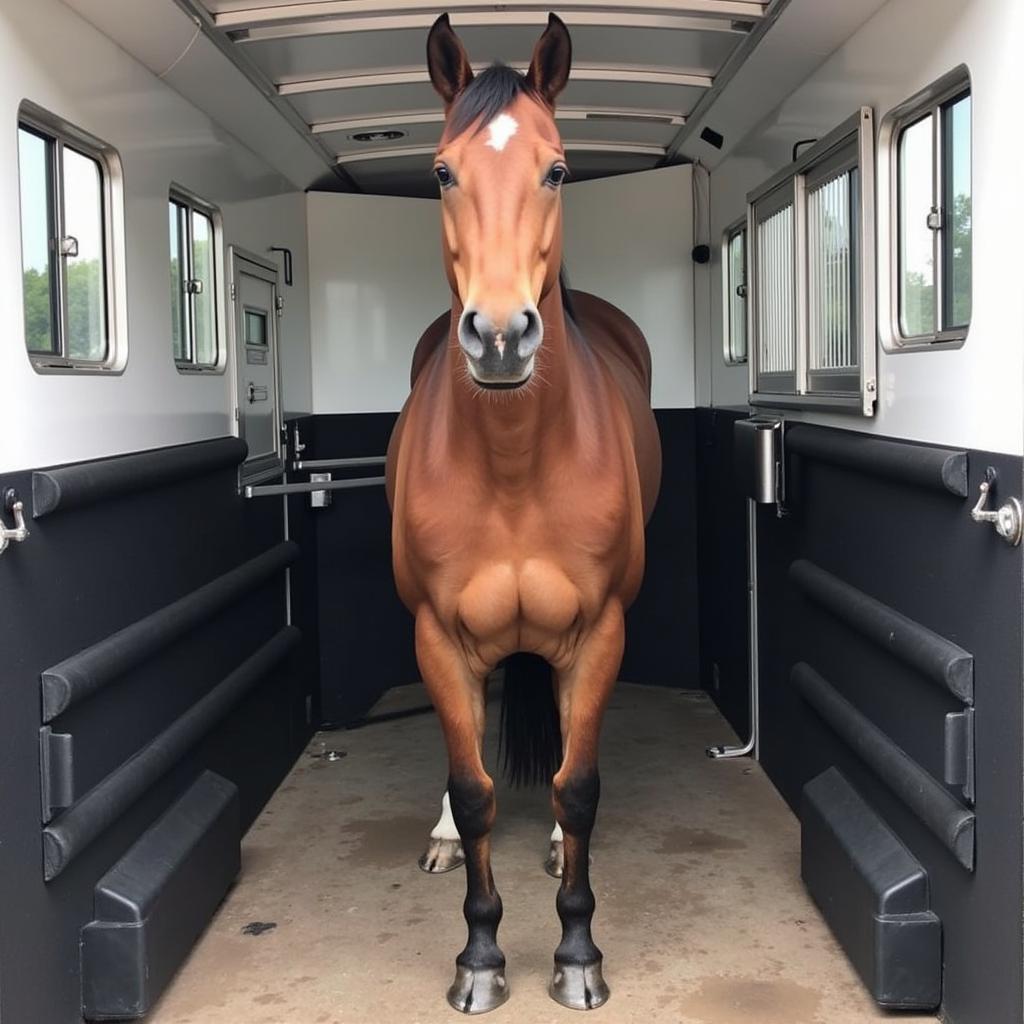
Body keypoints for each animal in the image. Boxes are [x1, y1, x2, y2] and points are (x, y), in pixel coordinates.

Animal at [385, 12, 663, 1011]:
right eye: (440, 171)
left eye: (557, 170)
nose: (500, 336)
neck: (514, 464)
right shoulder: (435, 634)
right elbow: (474, 791)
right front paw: (479, 959)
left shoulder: (602, 629)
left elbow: (576, 787)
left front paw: (577, 955)